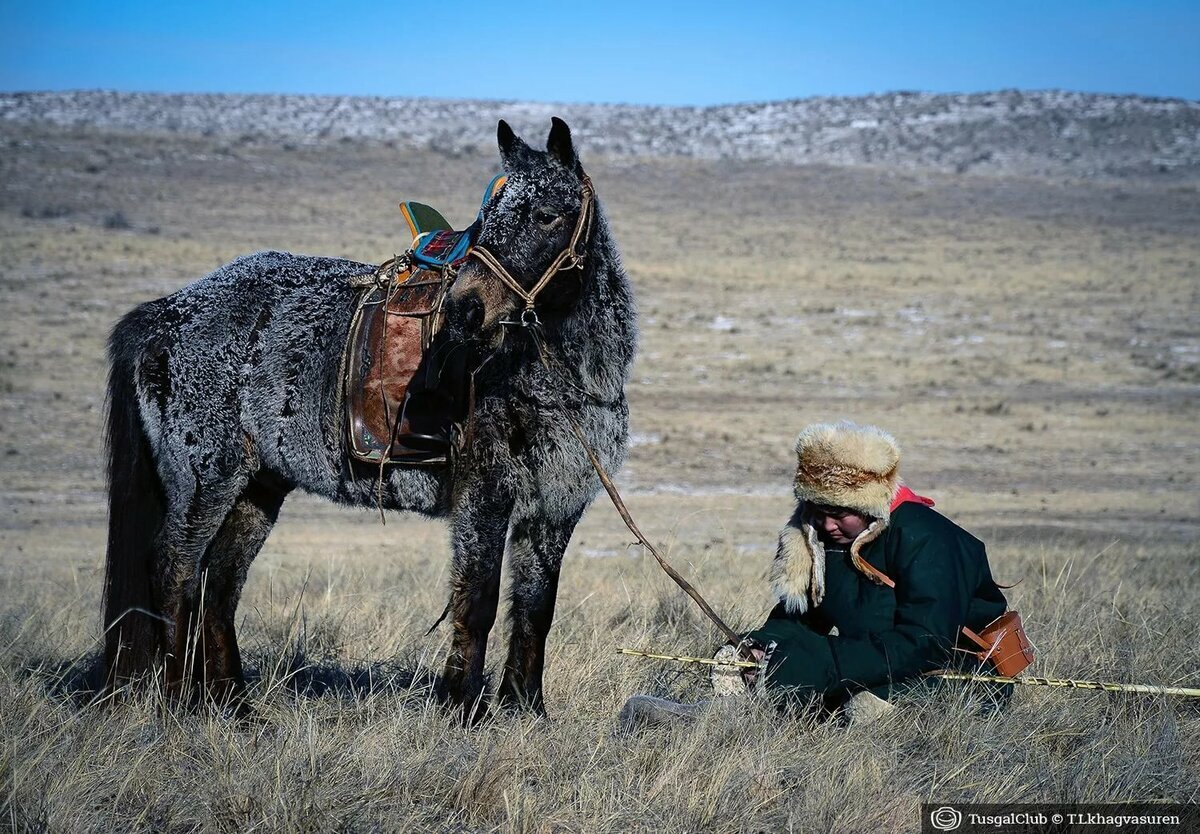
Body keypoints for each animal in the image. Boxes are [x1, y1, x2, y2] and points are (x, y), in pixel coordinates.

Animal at [103, 117, 638, 720]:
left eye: (547, 214)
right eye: (489, 219)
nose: (465, 309)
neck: (553, 375)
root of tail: (167, 313)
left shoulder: (555, 508)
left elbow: (536, 609)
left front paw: (525, 708)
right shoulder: (484, 499)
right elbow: (477, 603)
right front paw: (461, 707)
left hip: (258, 486)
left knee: (220, 582)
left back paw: (234, 704)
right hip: (203, 481)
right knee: (174, 571)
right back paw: (178, 702)